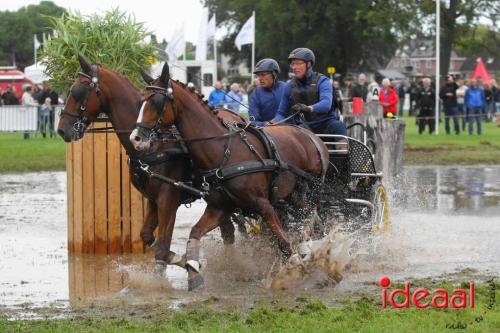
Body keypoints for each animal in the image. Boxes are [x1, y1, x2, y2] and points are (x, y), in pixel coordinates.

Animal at [57, 53, 241, 268]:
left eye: (77, 91)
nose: (62, 129)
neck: (155, 145)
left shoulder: (168, 200)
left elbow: (162, 247)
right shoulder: (153, 199)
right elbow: (148, 237)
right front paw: (182, 259)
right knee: (228, 230)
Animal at [131, 61, 330, 290]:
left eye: (156, 101)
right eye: (140, 101)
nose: (135, 138)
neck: (223, 151)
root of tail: (309, 134)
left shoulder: (263, 205)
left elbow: (284, 243)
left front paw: (297, 268)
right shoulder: (220, 207)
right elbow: (194, 233)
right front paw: (193, 271)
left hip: (310, 192)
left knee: (311, 220)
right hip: (291, 198)